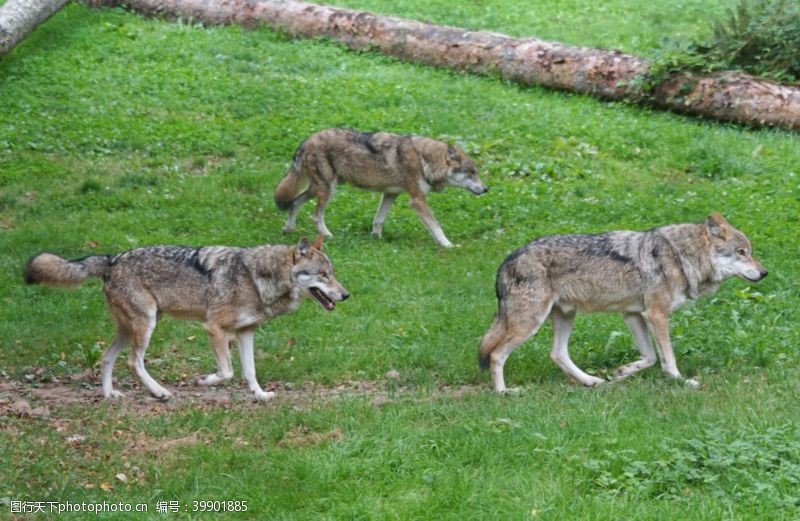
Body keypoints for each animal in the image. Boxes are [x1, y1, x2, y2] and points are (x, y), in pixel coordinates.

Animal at [24, 236, 346, 402]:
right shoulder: (215, 328)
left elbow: (250, 371)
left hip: (129, 330)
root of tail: (112, 258)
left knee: (106, 357)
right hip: (147, 326)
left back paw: (109, 395)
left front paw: (260, 395)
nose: (346, 295)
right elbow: (227, 372)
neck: (258, 278)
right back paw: (159, 392)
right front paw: (203, 381)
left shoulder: (246, 332)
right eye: (323, 275)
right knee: (133, 362)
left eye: (332, 274)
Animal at [276, 127, 488, 247]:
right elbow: (437, 227)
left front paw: (376, 239)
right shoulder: (417, 201)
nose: (486, 189)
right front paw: (448, 245)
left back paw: (288, 228)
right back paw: (328, 236)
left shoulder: (390, 194)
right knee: (315, 215)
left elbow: (379, 220)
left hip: (317, 189)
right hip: (328, 190)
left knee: (294, 202)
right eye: (471, 173)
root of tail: (306, 140)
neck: (425, 159)